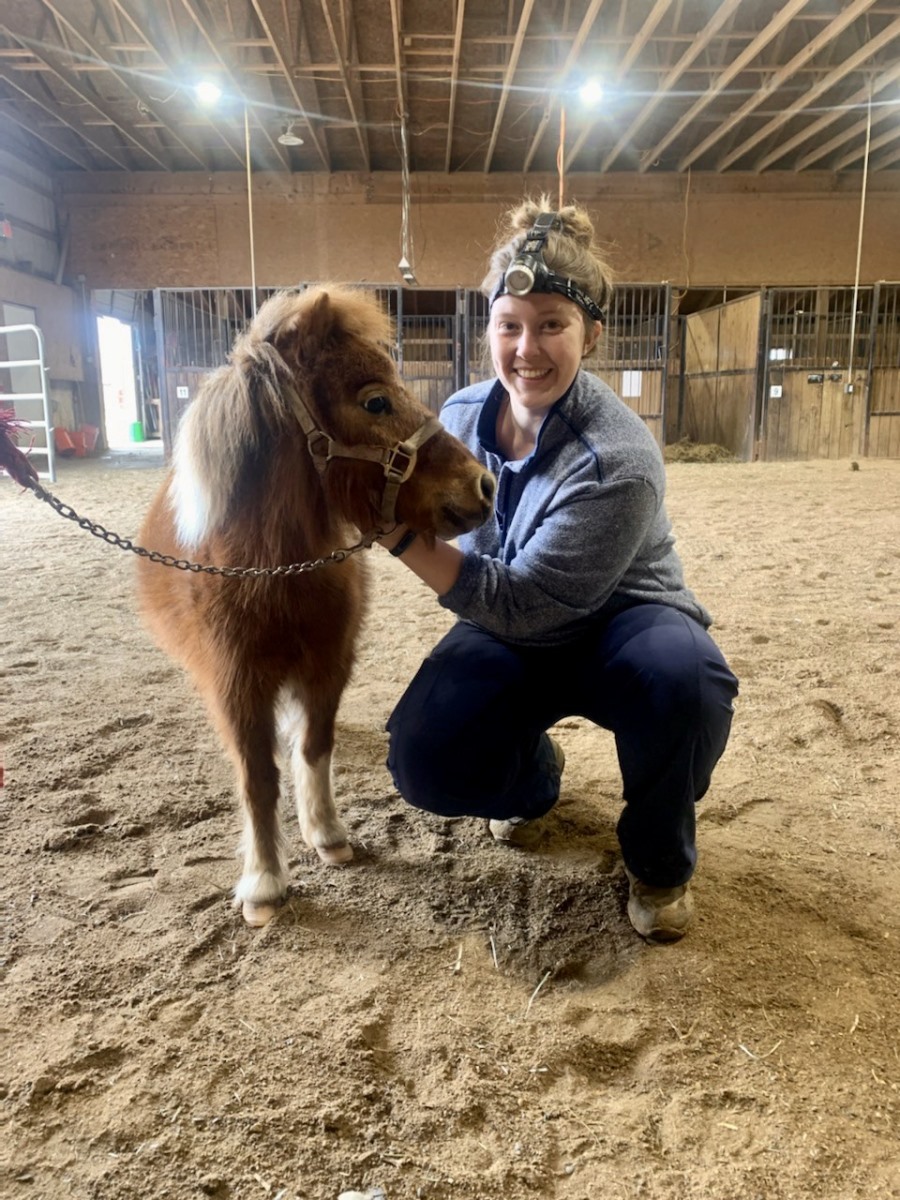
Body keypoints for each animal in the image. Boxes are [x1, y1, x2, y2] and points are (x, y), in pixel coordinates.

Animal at [137, 288, 496, 926]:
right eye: (375, 400)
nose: (483, 486)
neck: (270, 571)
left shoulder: (329, 665)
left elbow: (313, 746)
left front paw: (326, 833)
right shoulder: (237, 683)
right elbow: (257, 775)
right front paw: (263, 881)